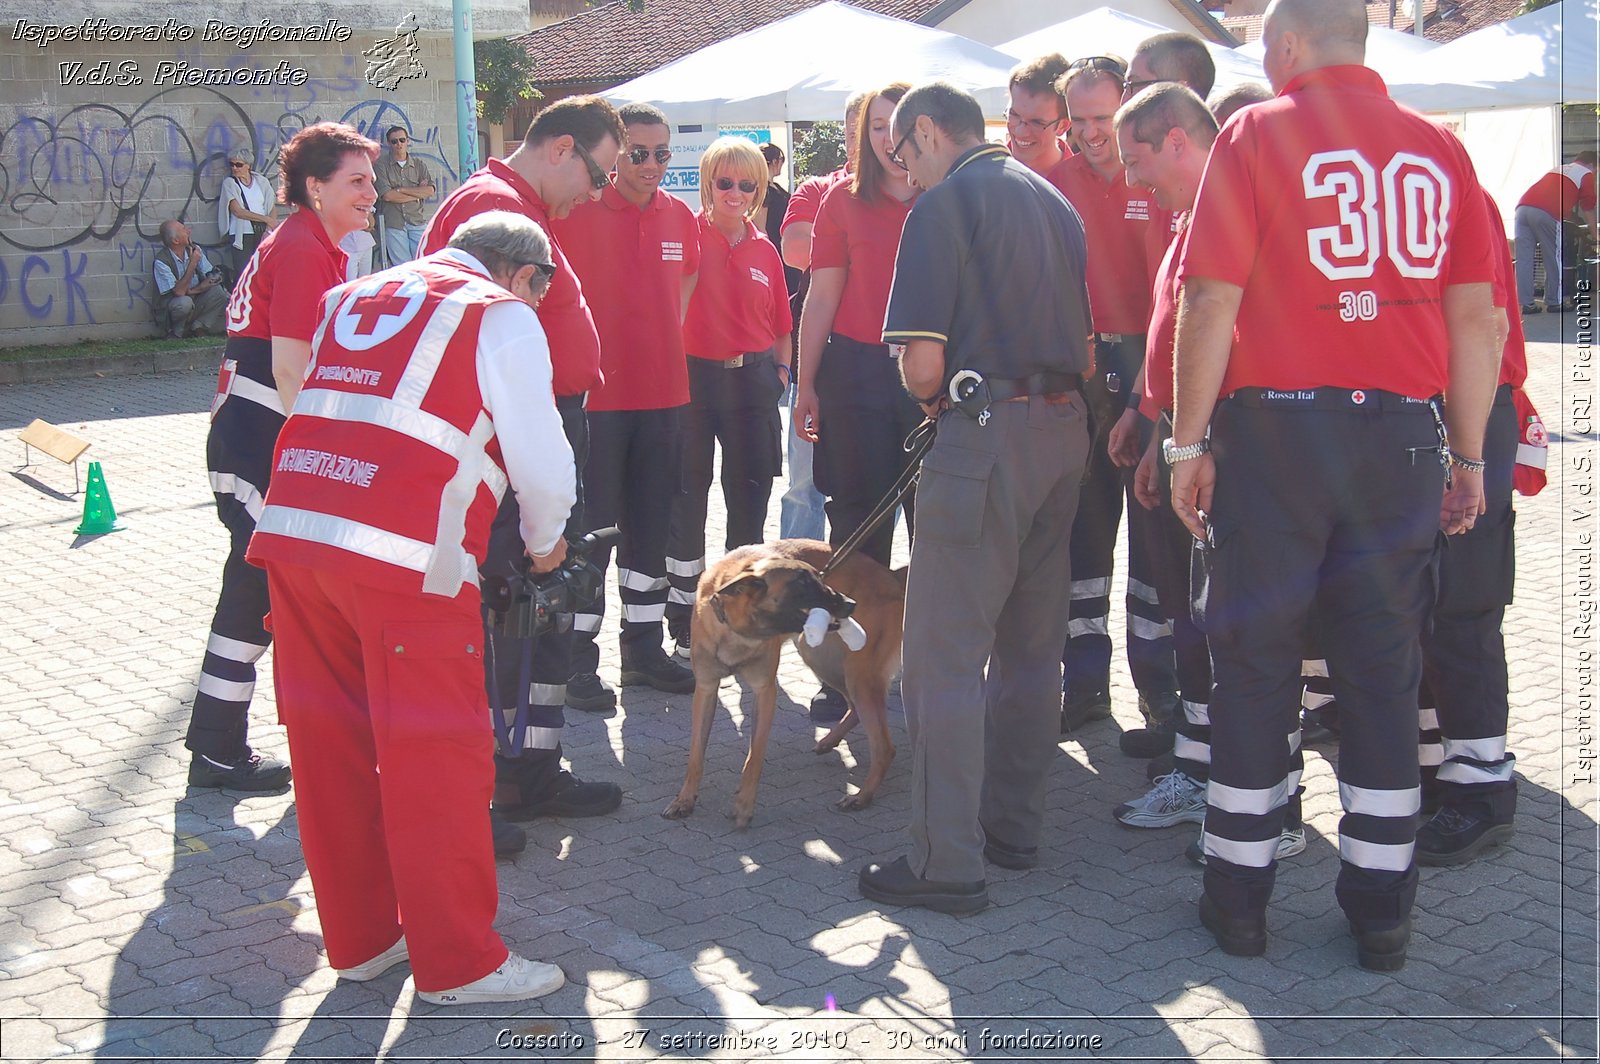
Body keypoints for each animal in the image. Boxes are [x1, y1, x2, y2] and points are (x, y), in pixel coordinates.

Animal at [662, 540, 908, 832]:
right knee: (854, 708)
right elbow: (696, 754)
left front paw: (744, 806)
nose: (851, 604)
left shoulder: (765, 691)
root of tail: (891, 576)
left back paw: (862, 796)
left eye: (819, 578)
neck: (736, 632)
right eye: (803, 582)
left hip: (858, 674)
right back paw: (829, 742)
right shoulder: (706, 690)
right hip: (821, 658)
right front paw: (684, 799)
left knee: (884, 747)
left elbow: (754, 757)